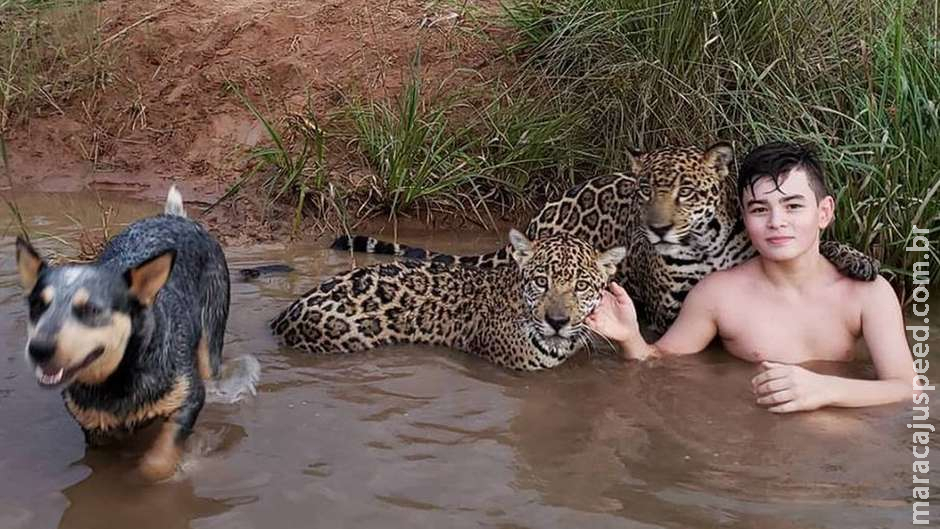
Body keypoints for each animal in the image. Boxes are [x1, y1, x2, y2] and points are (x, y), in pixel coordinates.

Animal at [14, 186, 229, 478]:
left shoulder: (189, 397)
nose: (39, 349)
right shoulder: (94, 428)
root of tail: (176, 217)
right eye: (37, 306)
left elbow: (157, 462)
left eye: (91, 309)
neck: (116, 380)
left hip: (211, 340)